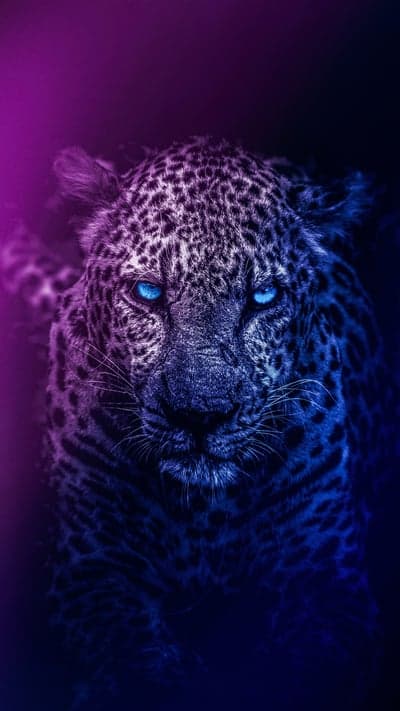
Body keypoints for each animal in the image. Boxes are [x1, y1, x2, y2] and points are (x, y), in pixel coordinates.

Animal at [1, 137, 393, 710]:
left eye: (263, 298)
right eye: (148, 293)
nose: (200, 415)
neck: (203, 513)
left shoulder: (326, 578)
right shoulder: (91, 568)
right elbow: (134, 659)